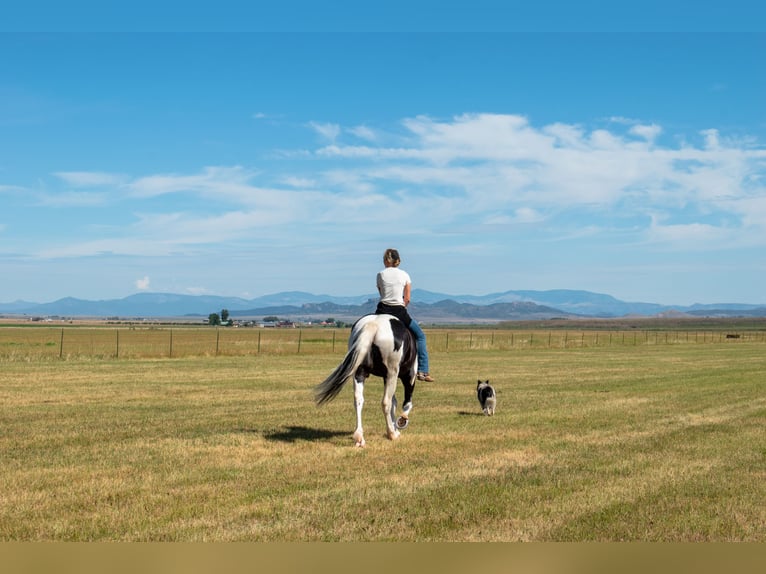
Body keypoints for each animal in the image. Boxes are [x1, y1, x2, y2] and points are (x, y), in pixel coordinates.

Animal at [314, 314, 418, 447]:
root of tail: (373, 324)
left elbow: (394, 402)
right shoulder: (408, 376)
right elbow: (405, 402)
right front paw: (400, 423)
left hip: (359, 373)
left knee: (358, 400)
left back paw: (360, 438)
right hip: (392, 374)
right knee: (386, 402)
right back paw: (391, 434)